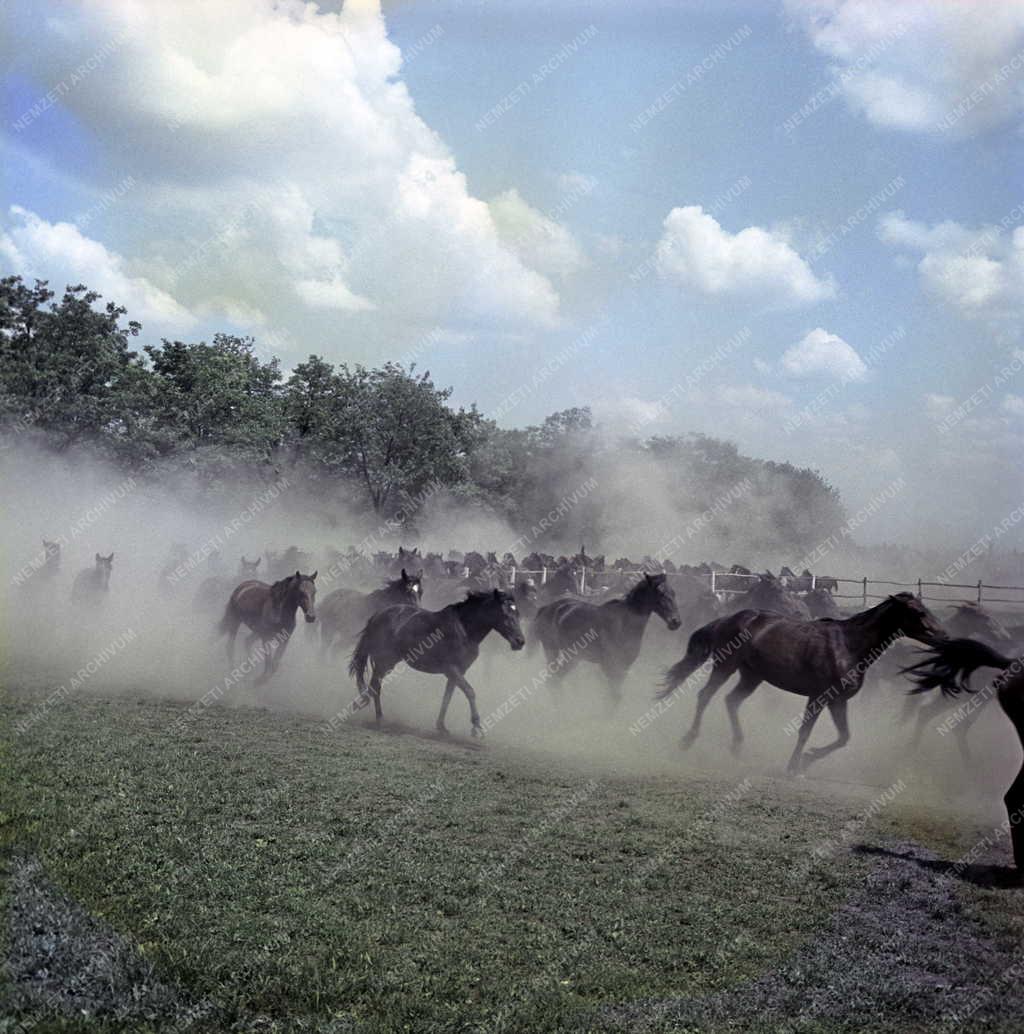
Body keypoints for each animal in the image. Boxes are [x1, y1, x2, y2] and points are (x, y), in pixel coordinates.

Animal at [351, 591, 529, 736]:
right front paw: (476, 726)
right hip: (384, 662)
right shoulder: (451, 669)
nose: (520, 642)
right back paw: (380, 719)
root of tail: (378, 615)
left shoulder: (458, 673)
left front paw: (441, 727)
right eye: (504, 614)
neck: (465, 630)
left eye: (518, 613)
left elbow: (447, 697)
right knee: (375, 686)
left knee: (374, 686)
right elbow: (470, 691)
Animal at [533, 570, 686, 707]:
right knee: (553, 681)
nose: (676, 622)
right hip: (552, 651)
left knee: (556, 679)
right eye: (660, 593)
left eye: (673, 593)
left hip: (573, 658)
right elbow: (614, 696)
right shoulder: (610, 667)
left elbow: (613, 697)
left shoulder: (623, 668)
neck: (624, 624)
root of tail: (547, 607)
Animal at [657, 595, 947, 773]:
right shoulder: (819, 696)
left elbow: (844, 737)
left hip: (752, 676)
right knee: (705, 695)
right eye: (918, 611)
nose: (943, 636)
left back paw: (737, 746)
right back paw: (687, 740)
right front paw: (794, 767)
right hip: (724, 666)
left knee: (731, 701)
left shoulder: (838, 701)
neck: (849, 646)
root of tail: (727, 619)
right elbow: (805, 731)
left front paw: (806, 762)